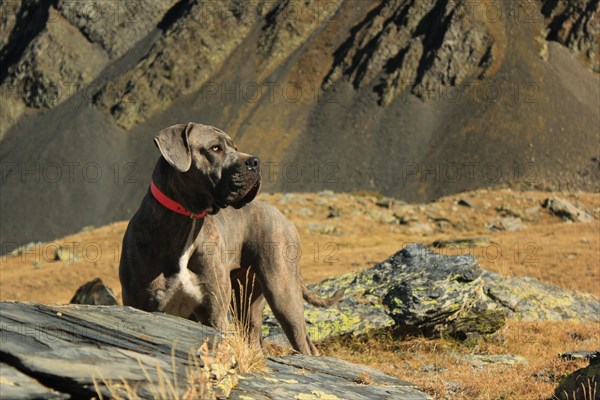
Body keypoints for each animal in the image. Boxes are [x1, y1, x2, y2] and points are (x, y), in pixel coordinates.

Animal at [118, 122, 342, 356]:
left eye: (235, 147)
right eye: (215, 148)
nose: (255, 162)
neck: (188, 219)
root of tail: (284, 218)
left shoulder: (213, 310)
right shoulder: (140, 303)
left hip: (282, 291)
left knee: (304, 343)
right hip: (246, 302)